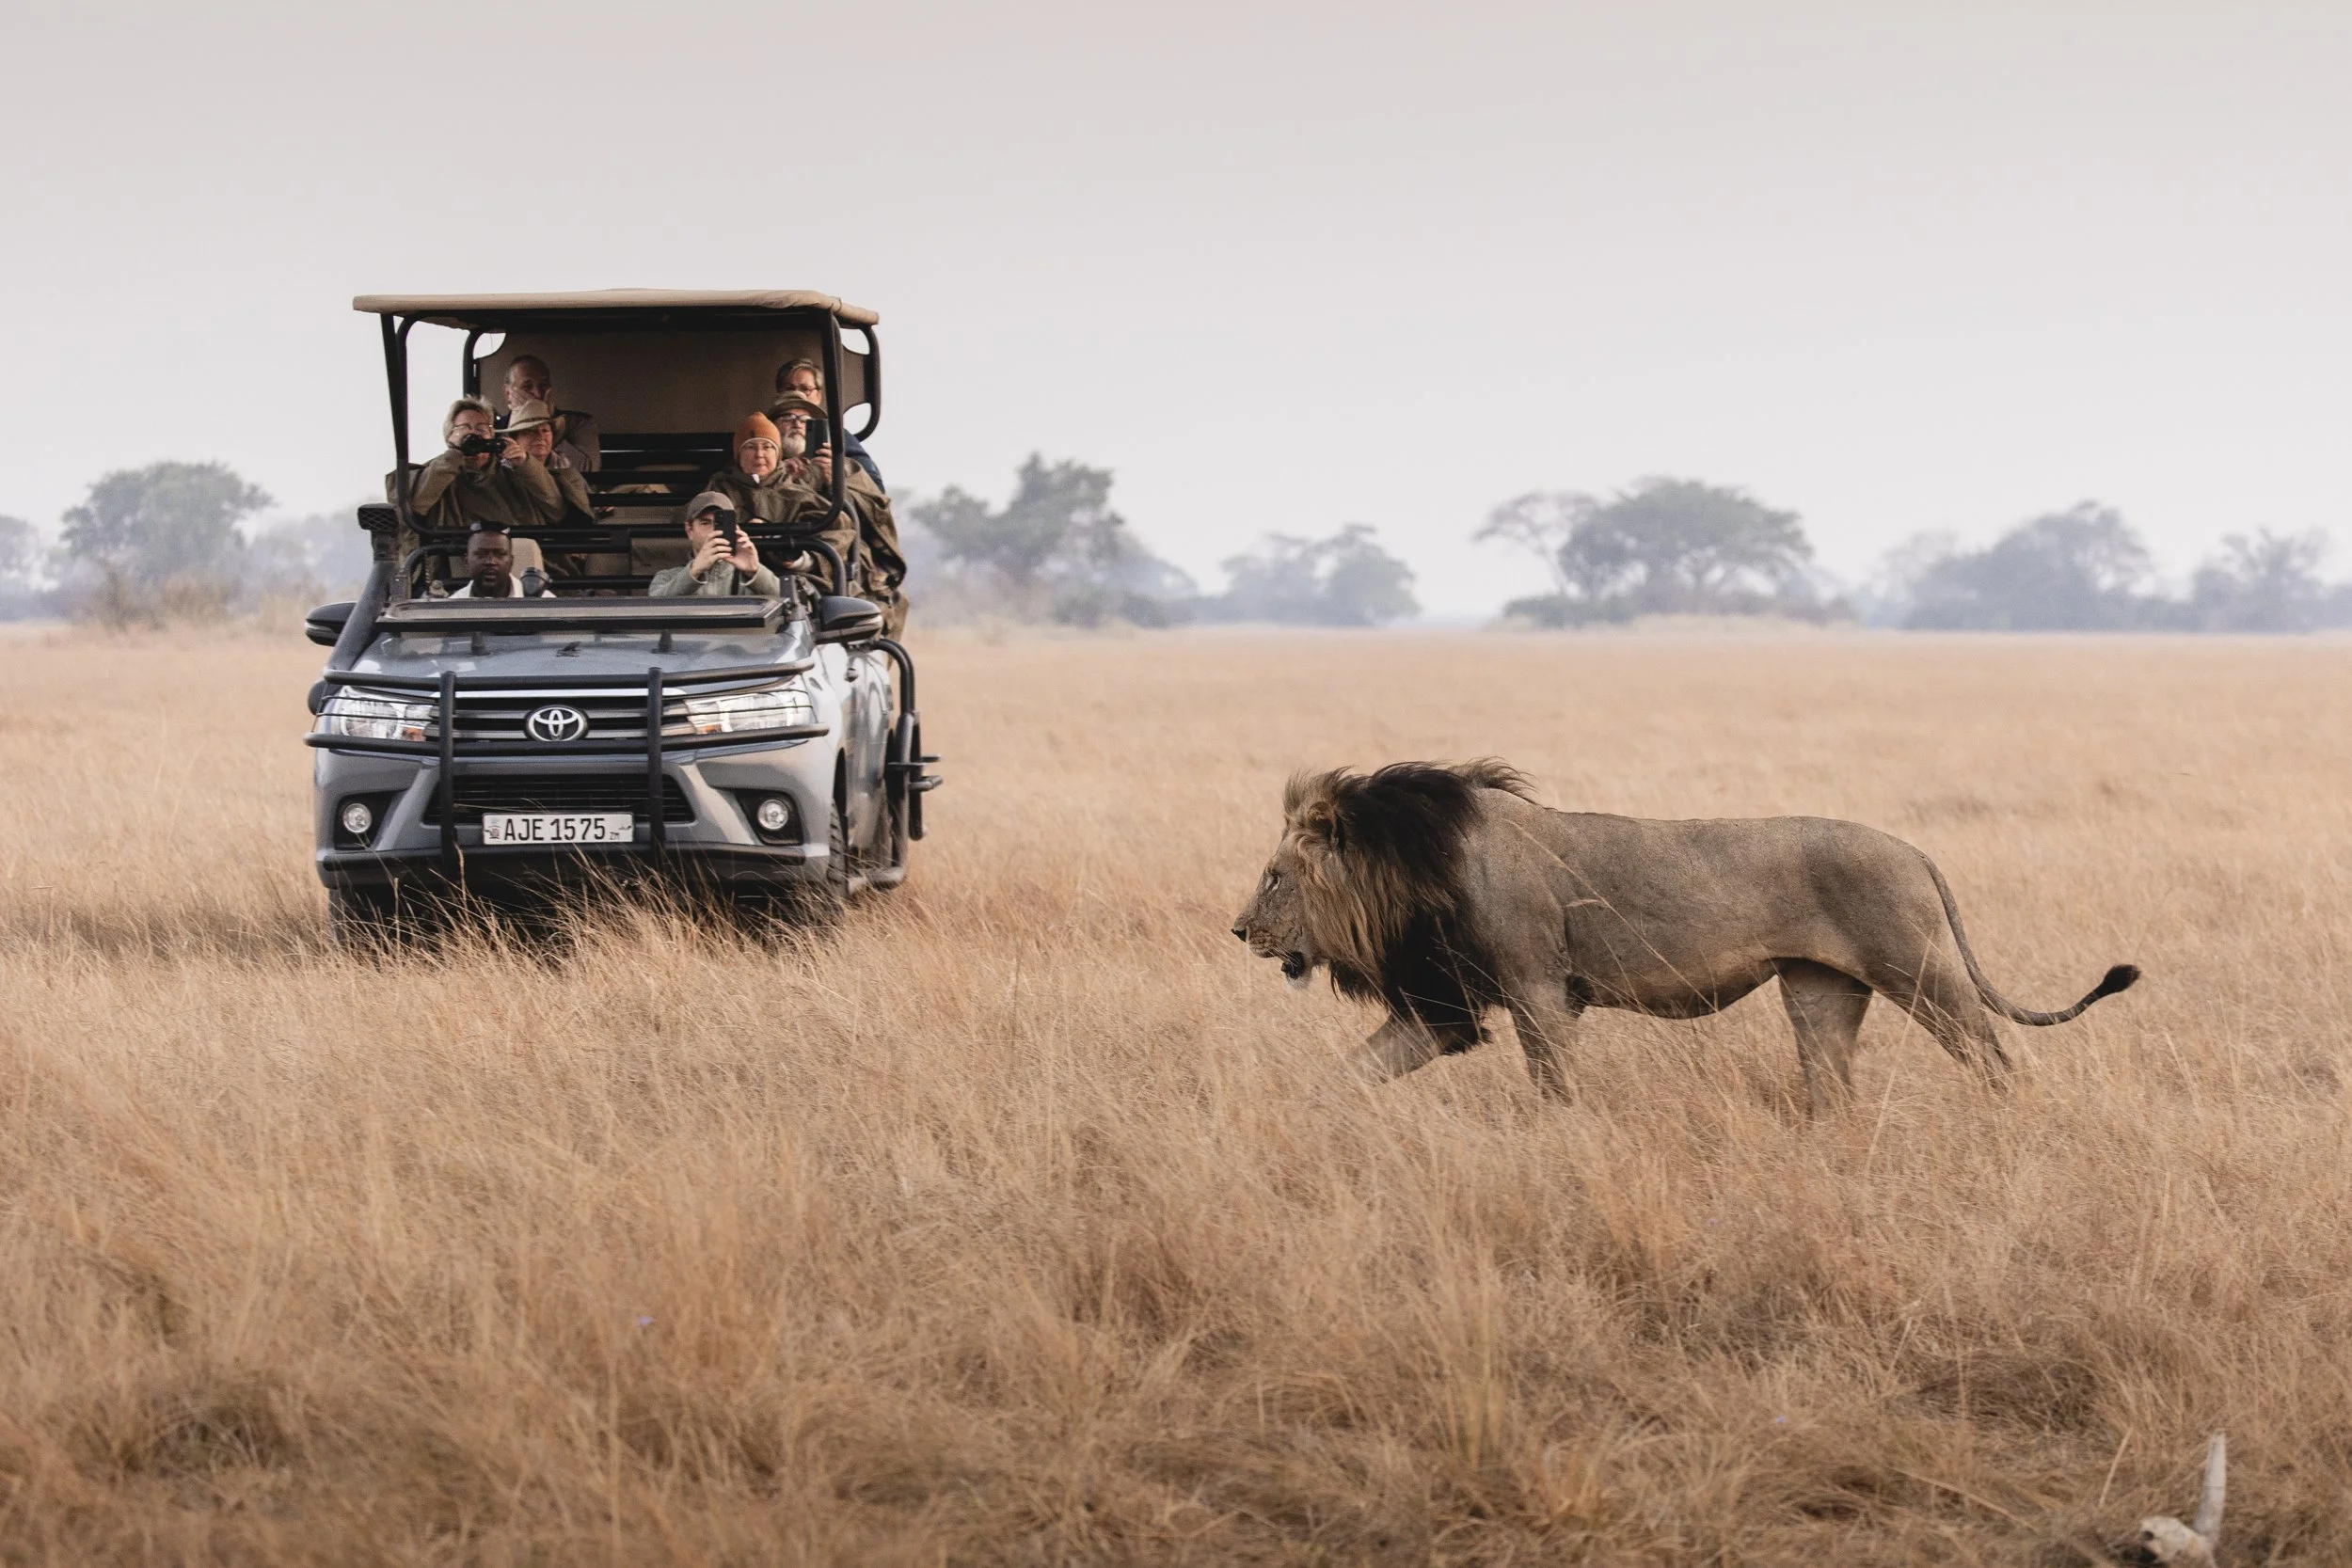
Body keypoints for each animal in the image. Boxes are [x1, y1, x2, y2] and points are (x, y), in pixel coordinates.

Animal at [1230, 760, 2139, 1110]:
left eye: (1274, 875)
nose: (1237, 930)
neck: (1414, 869)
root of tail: (1915, 849)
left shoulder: (1537, 989)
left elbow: (1553, 1088)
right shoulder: (1439, 1005)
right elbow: (1345, 1075)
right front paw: (1298, 1122)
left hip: (1920, 970)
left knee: (1996, 1057)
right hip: (1819, 992)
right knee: (1832, 1086)